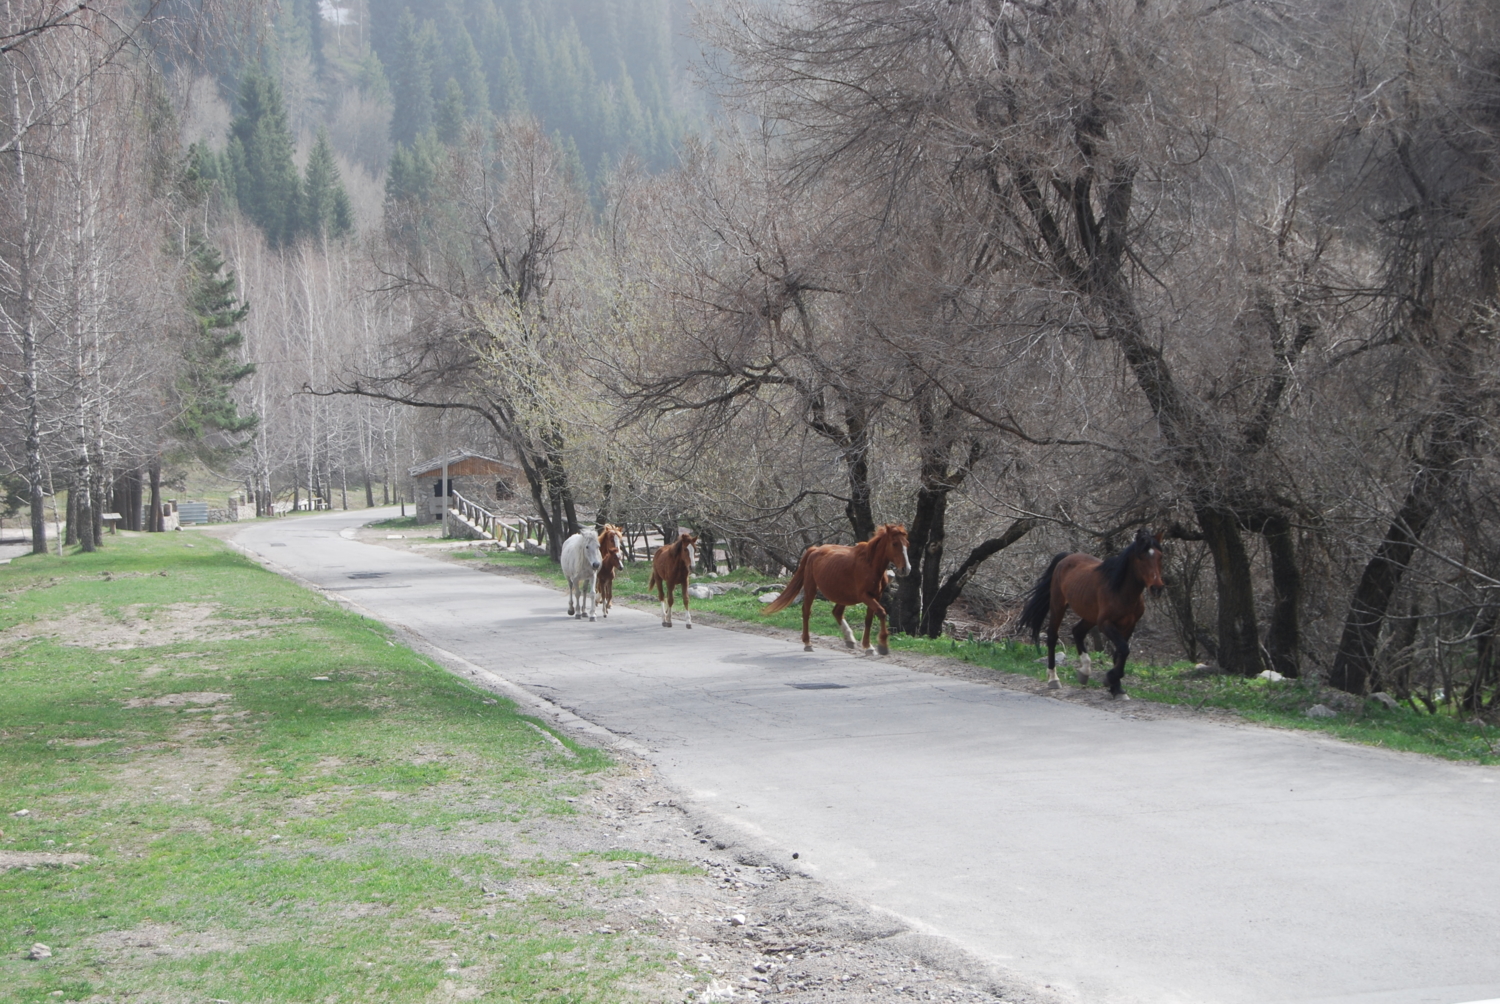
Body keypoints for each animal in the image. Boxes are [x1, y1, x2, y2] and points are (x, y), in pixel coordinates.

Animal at [768, 525, 906, 657]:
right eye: (895, 543)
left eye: (907, 544)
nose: (906, 569)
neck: (870, 564)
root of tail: (815, 550)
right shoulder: (865, 596)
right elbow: (881, 613)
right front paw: (882, 646)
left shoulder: (875, 596)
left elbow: (869, 619)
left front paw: (869, 647)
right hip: (811, 587)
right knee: (806, 611)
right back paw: (808, 643)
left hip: (844, 595)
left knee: (837, 612)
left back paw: (849, 639)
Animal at [1014, 531, 1164, 696]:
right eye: (1140, 557)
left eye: (1160, 557)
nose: (1157, 588)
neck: (1121, 591)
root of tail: (1067, 557)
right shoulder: (1105, 624)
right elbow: (1124, 649)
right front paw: (1110, 678)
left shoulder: (1129, 625)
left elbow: (1120, 653)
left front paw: (1116, 687)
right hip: (1058, 605)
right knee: (1052, 636)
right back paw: (1054, 679)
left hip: (1090, 616)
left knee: (1077, 632)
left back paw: (1084, 672)